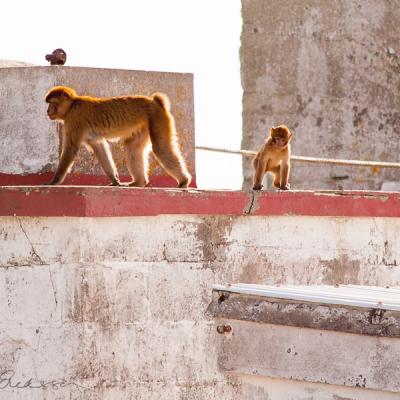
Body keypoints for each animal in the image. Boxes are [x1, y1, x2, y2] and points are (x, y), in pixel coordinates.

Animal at [44, 86, 191, 188]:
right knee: (133, 149)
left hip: (157, 117)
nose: (47, 111)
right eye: (49, 104)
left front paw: (54, 181)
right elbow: (100, 148)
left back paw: (184, 181)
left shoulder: (74, 120)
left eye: (53, 103)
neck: (72, 105)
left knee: (161, 148)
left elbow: (71, 149)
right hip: (145, 124)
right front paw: (114, 180)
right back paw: (139, 182)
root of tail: (155, 101)